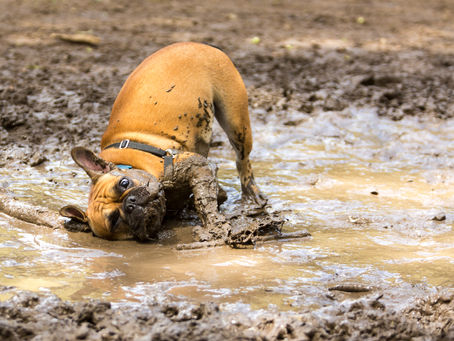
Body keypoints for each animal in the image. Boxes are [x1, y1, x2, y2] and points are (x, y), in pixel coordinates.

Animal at [59, 41, 266, 240]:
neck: (129, 164)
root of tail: (200, 44)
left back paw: (252, 193)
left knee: (242, 159)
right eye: (115, 220)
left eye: (124, 184)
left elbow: (204, 200)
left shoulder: (193, 166)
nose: (130, 203)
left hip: (236, 121)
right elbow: (213, 192)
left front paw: (213, 224)